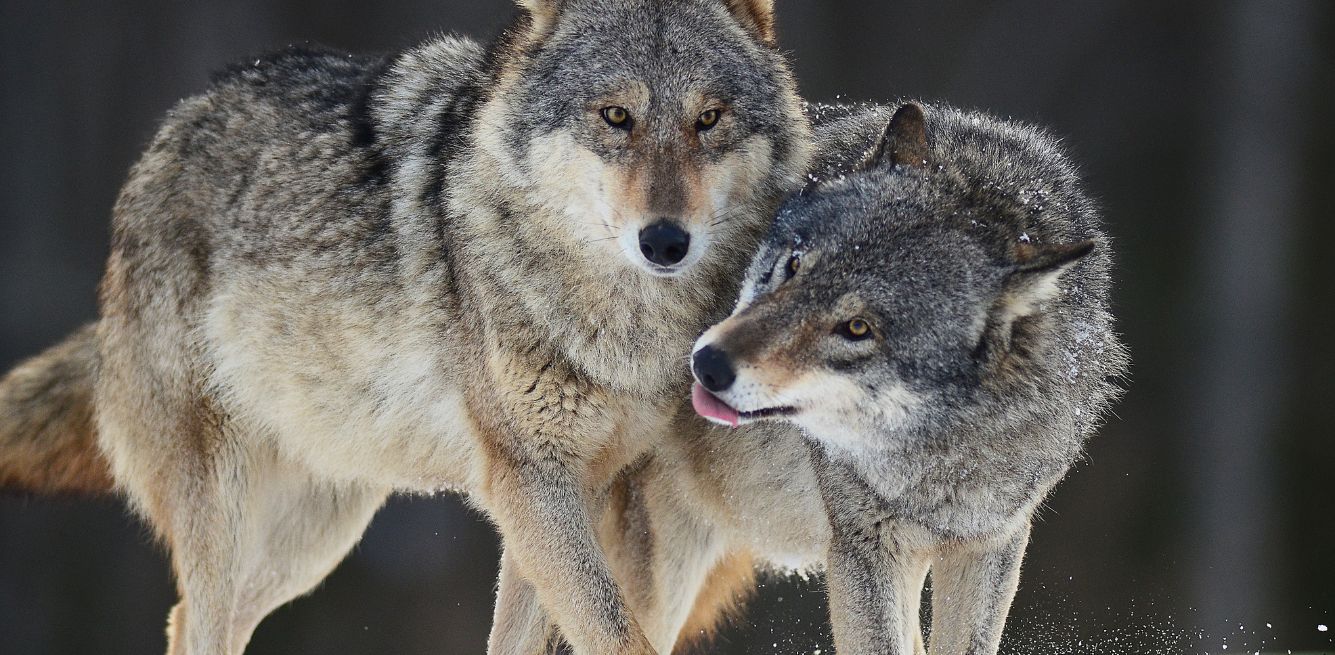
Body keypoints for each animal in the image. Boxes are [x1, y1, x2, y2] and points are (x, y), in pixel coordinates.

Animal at [0, 0, 812, 652]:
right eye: (617, 117)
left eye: (709, 119)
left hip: (313, 536)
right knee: (197, 621)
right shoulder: (531, 481)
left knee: (193, 620)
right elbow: (616, 634)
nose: (666, 241)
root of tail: (173, 125)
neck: (618, 320)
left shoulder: (563, 494)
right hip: (227, 508)